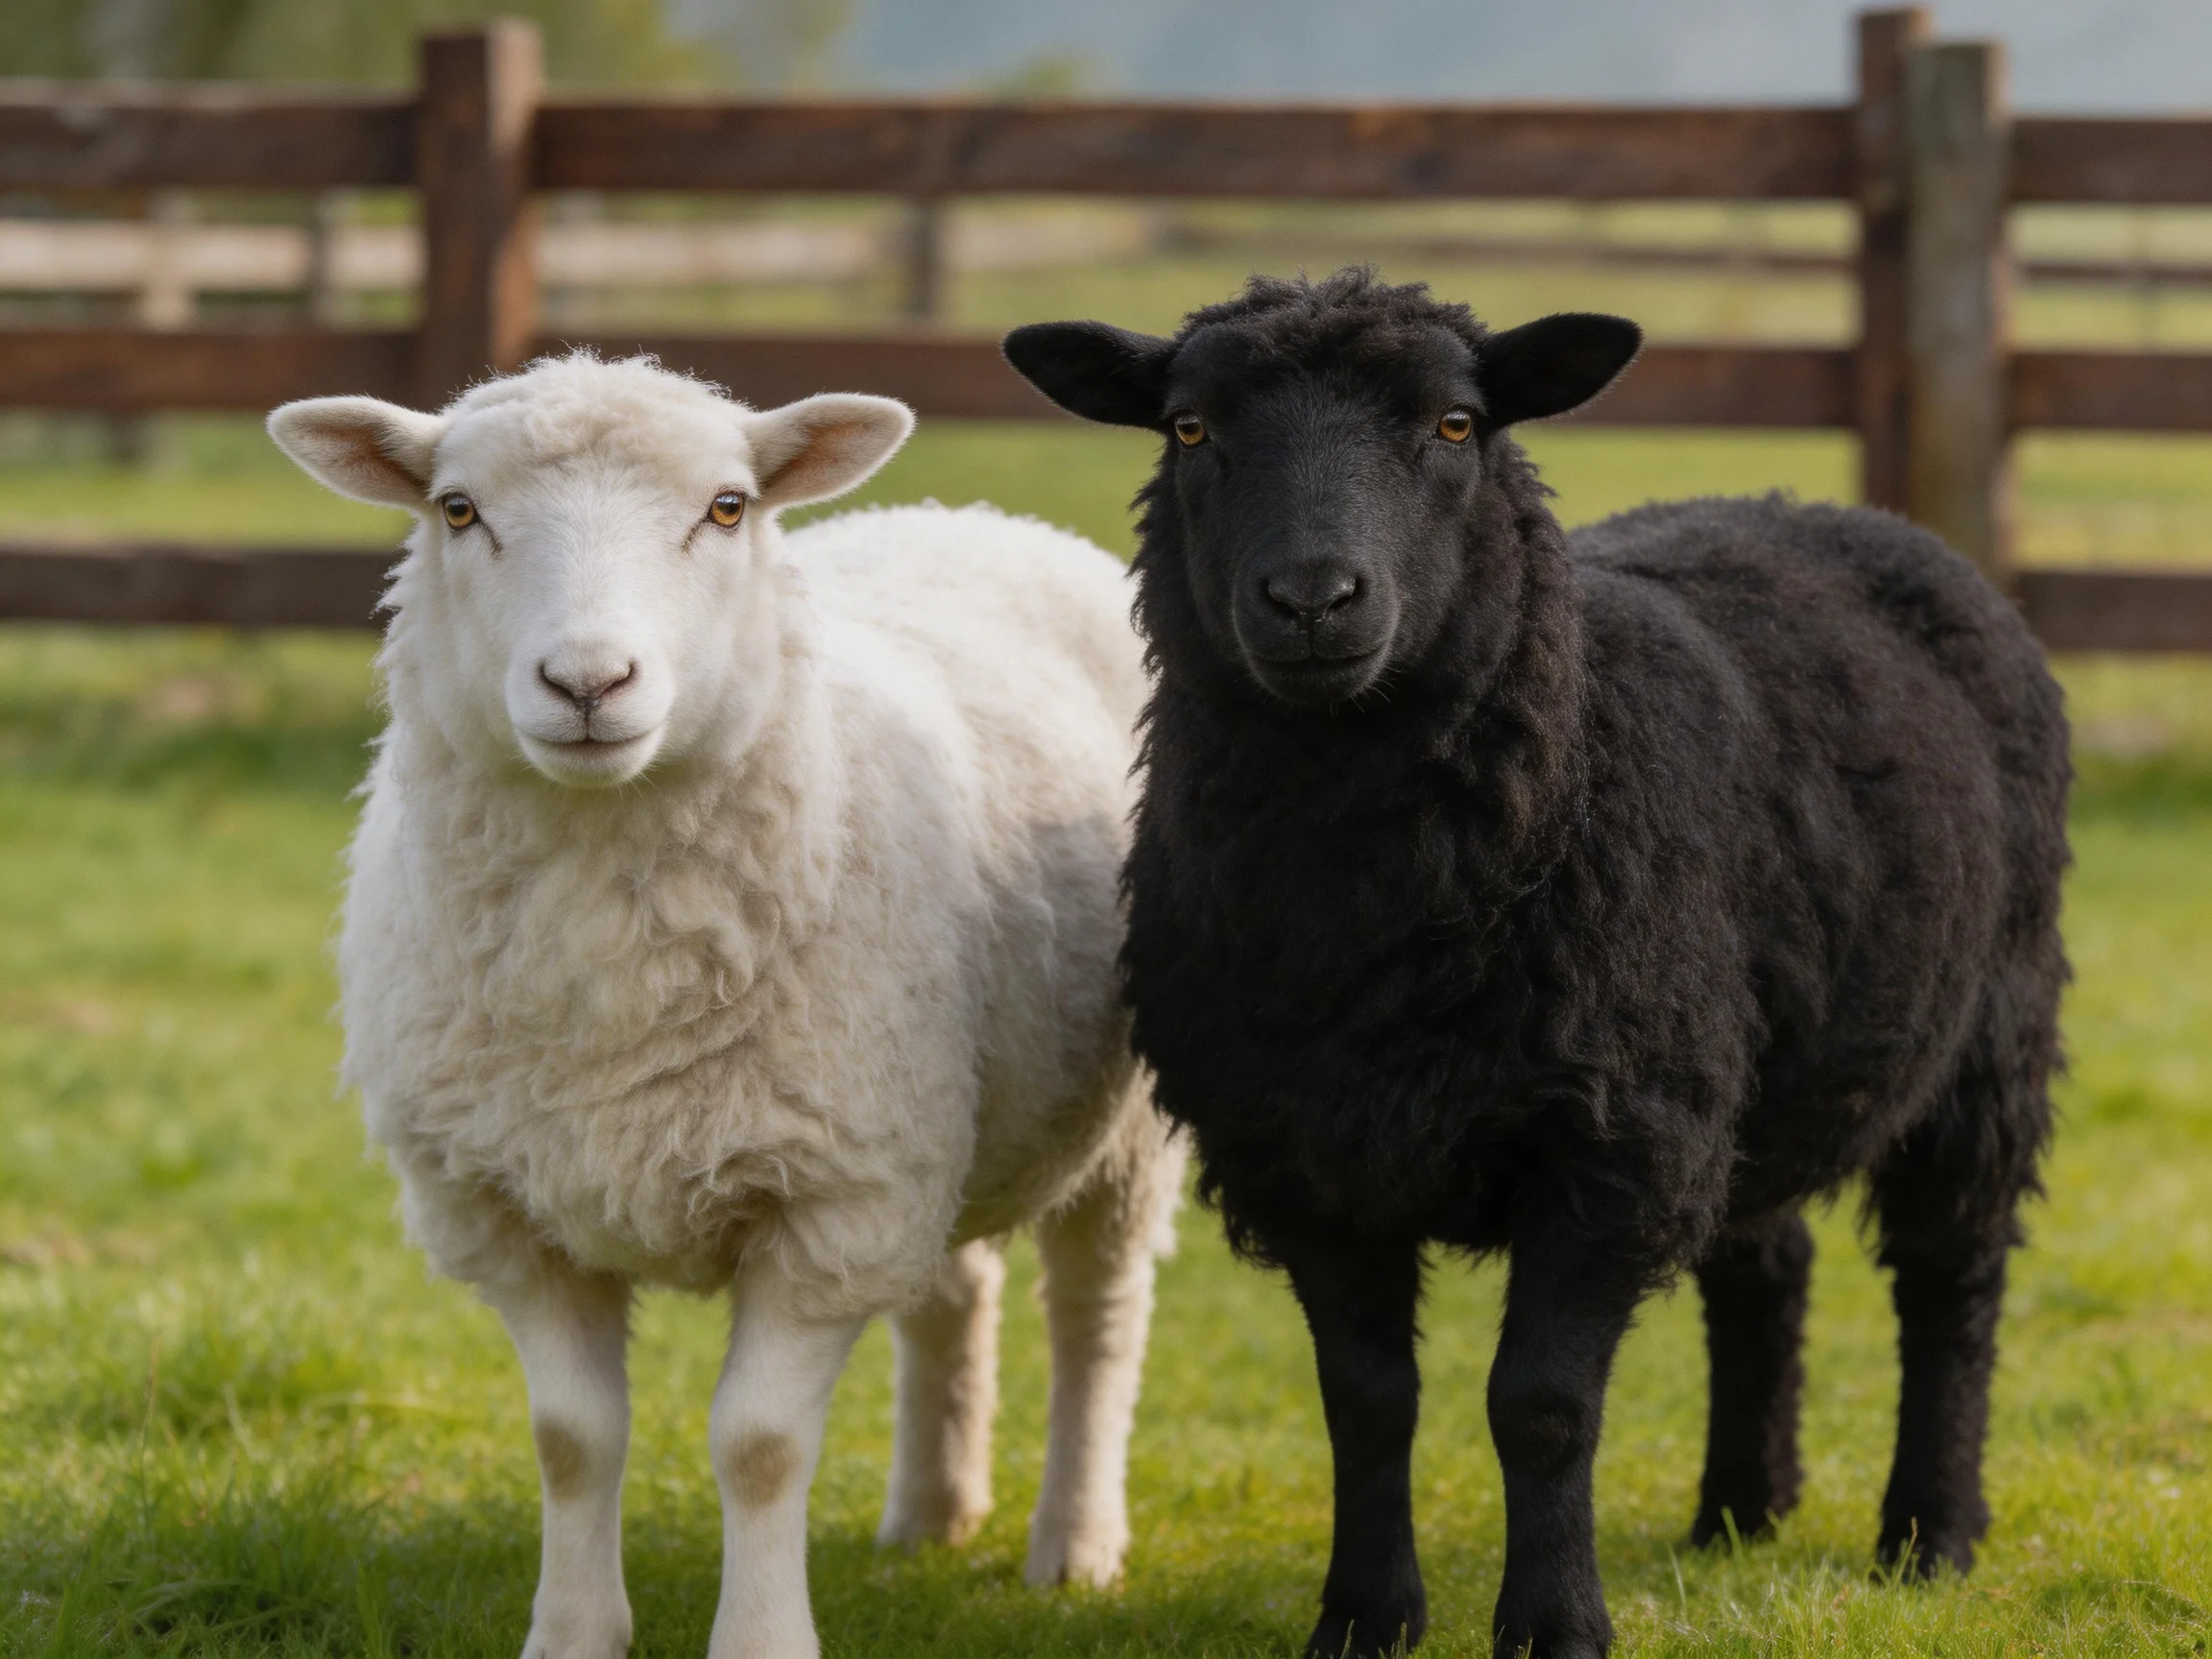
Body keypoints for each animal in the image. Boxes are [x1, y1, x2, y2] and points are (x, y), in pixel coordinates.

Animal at [265, 353, 1181, 1659]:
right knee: (954, 1293)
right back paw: (931, 1513)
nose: (587, 682)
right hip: (930, 1119)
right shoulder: (512, 1209)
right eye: (457, 509)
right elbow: (571, 1440)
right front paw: (572, 1635)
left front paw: (759, 1638)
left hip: (1109, 1125)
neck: (609, 971)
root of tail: (974, 516)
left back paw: (1077, 1545)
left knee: (1097, 1317)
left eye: (728, 507)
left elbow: (758, 1446)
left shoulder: (830, 1203)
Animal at [1003, 269, 2070, 1659]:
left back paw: (1929, 1535)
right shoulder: (1309, 1152)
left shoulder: (1607, 1141)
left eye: (1456, 424)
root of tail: (1828, 507)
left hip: (1987, 1028)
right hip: (1731, 1063)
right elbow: (1366, 1400)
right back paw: (1741, 1511)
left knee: (1952, 1281)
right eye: (1188, 426)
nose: (1311, 599)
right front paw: (1365, 1618)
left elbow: (1542, 1405)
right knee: (1765, 1263)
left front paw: (1555, 1625)